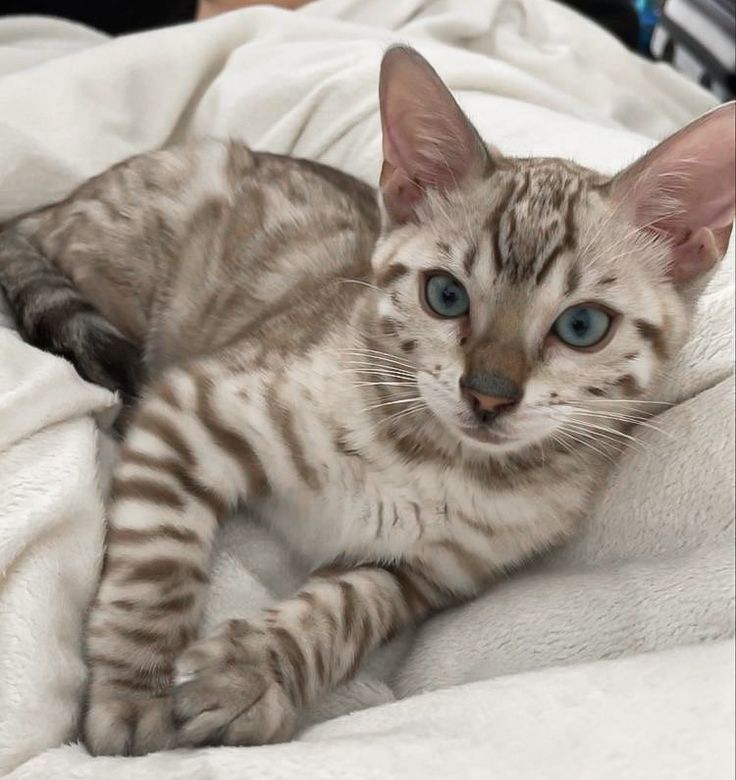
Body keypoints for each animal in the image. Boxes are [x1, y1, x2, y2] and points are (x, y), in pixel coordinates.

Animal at [0, 44, 732, 756]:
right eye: (446, 295)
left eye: (582, 326)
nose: (488, 394)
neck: (437, 459)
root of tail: (44, 206)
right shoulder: (190, 406)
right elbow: (157, 559)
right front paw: (134, 695)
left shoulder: (424, 573)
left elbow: (350, 607)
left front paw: (247, 673)